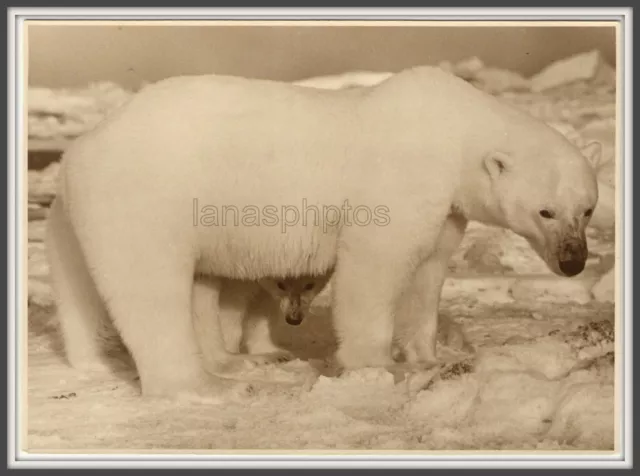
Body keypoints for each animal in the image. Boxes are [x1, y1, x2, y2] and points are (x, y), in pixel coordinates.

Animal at [46, 65, 600, 396]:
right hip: (149, 198)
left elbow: (428, 272)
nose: (573, 261)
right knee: (151, 289)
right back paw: (201, 386)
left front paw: (426, 355)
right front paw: (378, 366)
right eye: (546, 212)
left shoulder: (444, 207)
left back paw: (228, 363)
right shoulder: (400, 180)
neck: (453, 133)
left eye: (587, 209)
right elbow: (375, 266)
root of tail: (78, 150)